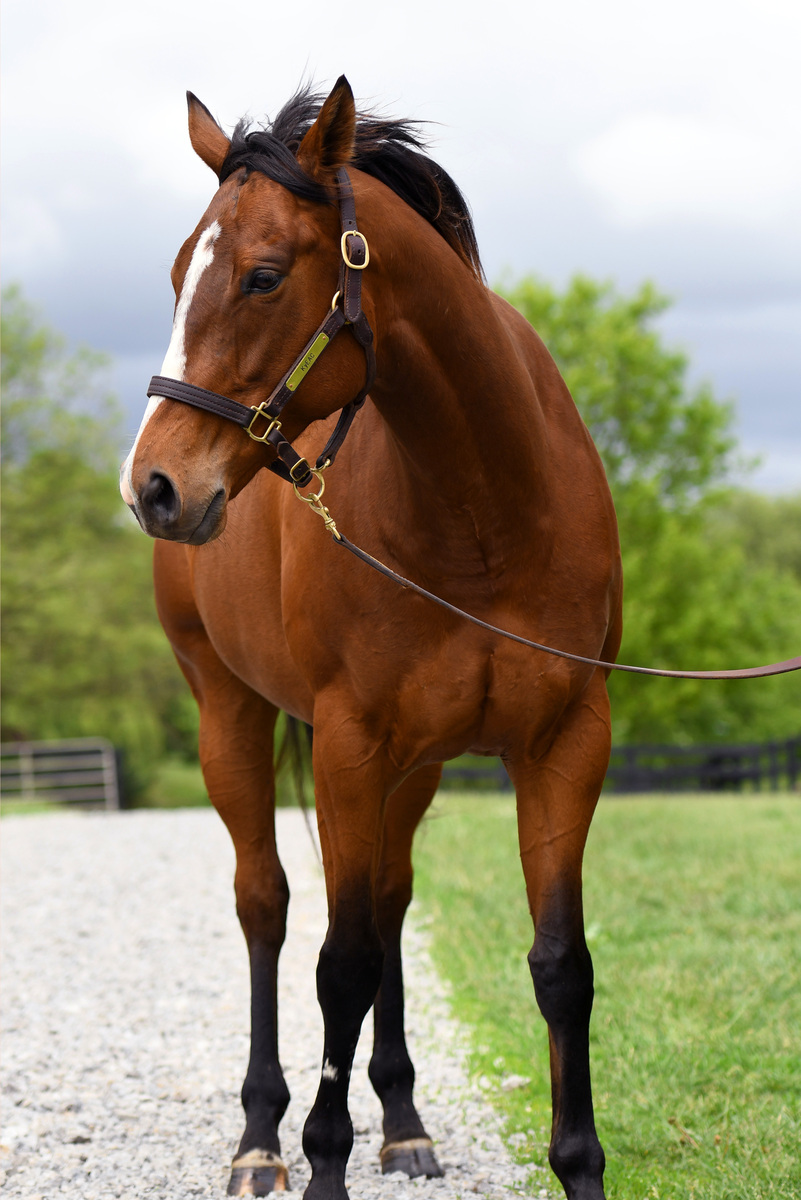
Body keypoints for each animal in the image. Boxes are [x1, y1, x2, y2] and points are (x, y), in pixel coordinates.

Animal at [120, 77, 622, 1200]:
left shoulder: (566, 743)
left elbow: (559, 965)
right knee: (266, 906)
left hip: (415, 767)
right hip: (231, 713)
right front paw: (319, 1157)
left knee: (388, 901)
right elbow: (335, 965)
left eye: (262, 276)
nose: (155, 487)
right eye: (175, 275)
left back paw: (400, 1120)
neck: (486, 515)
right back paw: (261, 1136)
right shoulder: (350, 744)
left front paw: (577, 1164)